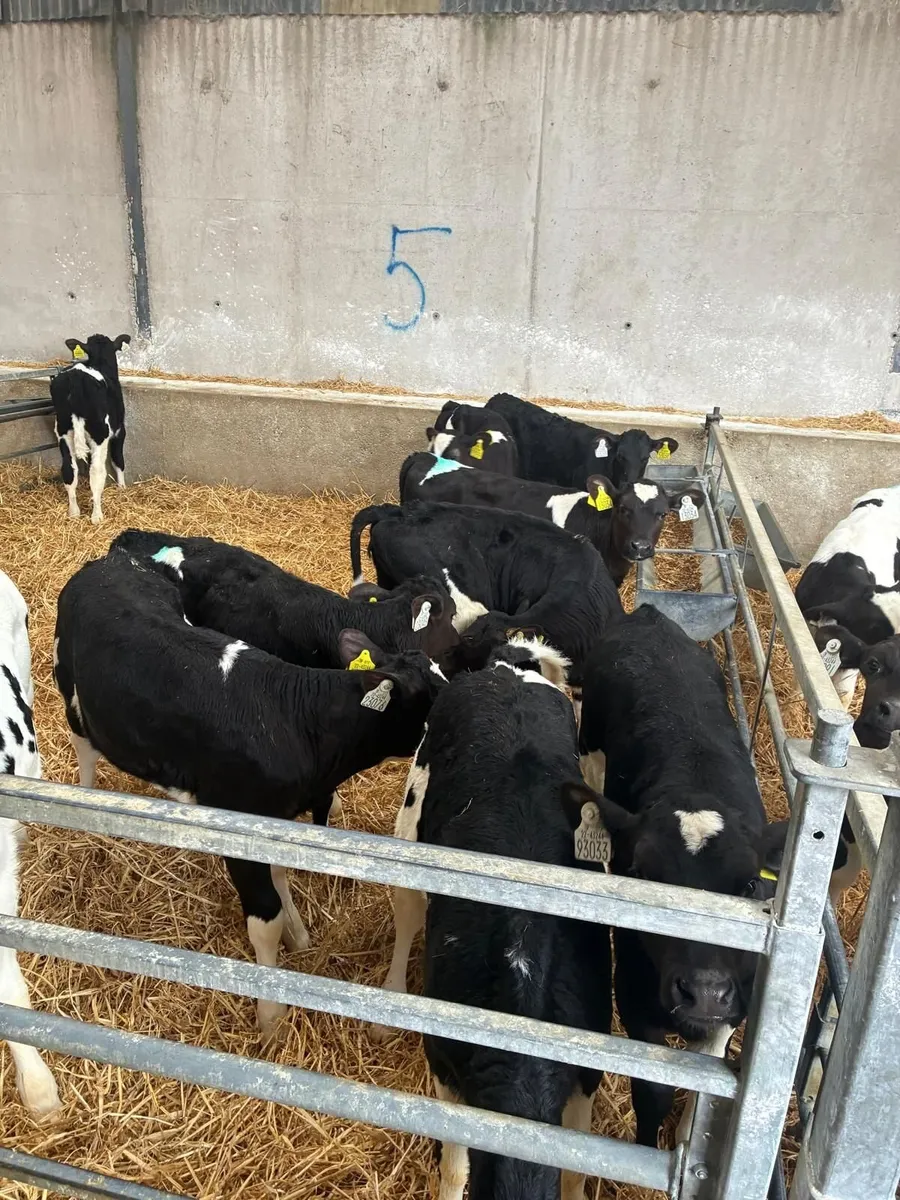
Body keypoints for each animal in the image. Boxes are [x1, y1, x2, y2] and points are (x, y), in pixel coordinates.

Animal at [49, 333, 131, 523]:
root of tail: (75, 380)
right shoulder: (119, 430)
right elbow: (118, 460)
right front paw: (122, 488)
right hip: (100, 433)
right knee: (97, 472)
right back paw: (97, 516)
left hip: (63, 432)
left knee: (69, 470)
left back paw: (74, 513)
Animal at [54, 549, 446, 1038]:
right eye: (436, 695)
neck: (297, 718)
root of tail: (109, 562)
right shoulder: (238, 827)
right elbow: (265, 919)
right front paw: (271, 1012)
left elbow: (280, 879)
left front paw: (298, 933)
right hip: (70, 690)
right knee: (85, 751)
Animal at [373, 634, 611, 1200]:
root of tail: (506, 667)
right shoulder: (444, 1062)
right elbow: (454, 1166)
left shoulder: (587, 1073)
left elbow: (576, 1168)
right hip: (411, 821)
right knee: (407, 915)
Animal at [570, 605, 789, 1147]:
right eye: (643, 874)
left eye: (749, 886)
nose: (704, 990)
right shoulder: (632, 998)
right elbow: (653, 1092)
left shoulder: (734, 1004)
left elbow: (705, 1080)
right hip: (589, 749)